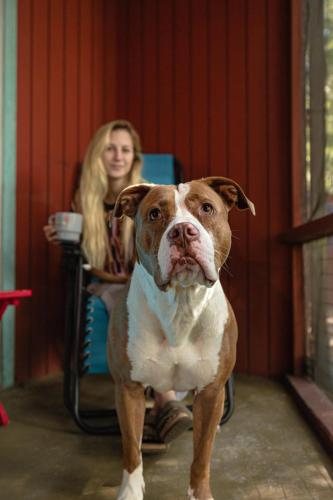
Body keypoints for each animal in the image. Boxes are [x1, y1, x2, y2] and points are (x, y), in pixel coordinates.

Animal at [107, 177, 254, 500]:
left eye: (207, 208)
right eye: (154, 214)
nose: (183, 231)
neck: (180, 305)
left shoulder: (211, 391)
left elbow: (202, 455)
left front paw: (200, 493)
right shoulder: (128, 388)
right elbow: (131, 450)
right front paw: (130, 491)